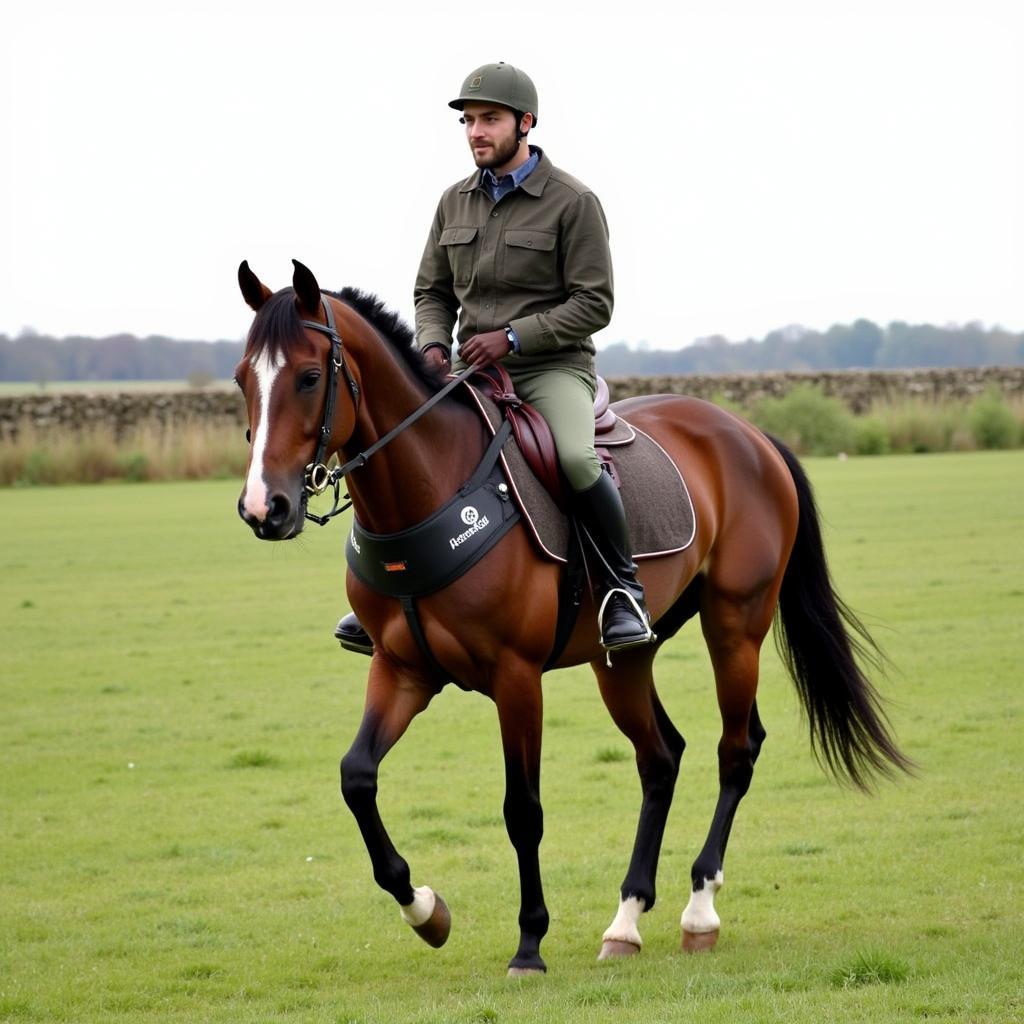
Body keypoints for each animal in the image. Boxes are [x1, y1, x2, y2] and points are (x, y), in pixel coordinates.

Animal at [234, 260, 913, 970]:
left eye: (309, 377)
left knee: (736, 751)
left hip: (735, 629)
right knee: (660, 758)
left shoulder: (515, 679)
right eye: (241, 379)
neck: (431, 489)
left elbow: (522, 810)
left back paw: (699, 909)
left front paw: (529, 942)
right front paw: (424, 910)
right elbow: (357, 778)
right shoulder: (402, 670)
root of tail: (748, 434)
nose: (264, 507)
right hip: (623, 660)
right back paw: (626, 921)